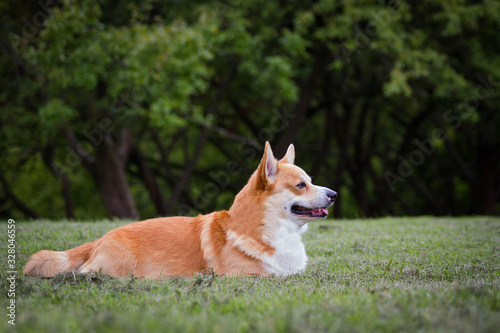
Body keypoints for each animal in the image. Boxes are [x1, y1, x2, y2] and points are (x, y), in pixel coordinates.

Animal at [23, 141, 336, 278]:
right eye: (301, 185)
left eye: (310, 181)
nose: (333, 194)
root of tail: (98, 240)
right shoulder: (248, 276)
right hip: (117, 267)